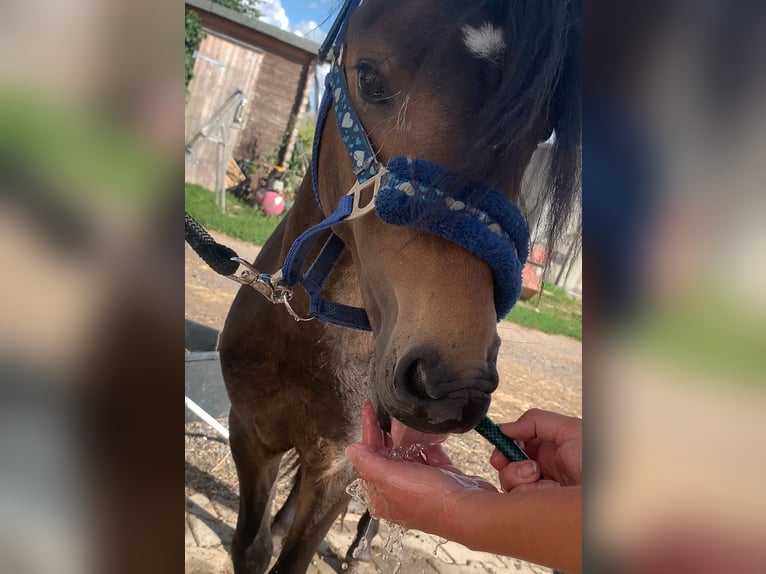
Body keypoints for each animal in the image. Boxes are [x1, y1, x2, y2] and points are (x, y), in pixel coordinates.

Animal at [218, 2, 584, 572]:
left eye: (538, 129)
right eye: (369, 78)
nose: (453, 382)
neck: (303, 337)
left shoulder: (343, 466)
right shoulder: (251, 436)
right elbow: (253, 548)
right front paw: (269, 533)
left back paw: (360, 550)